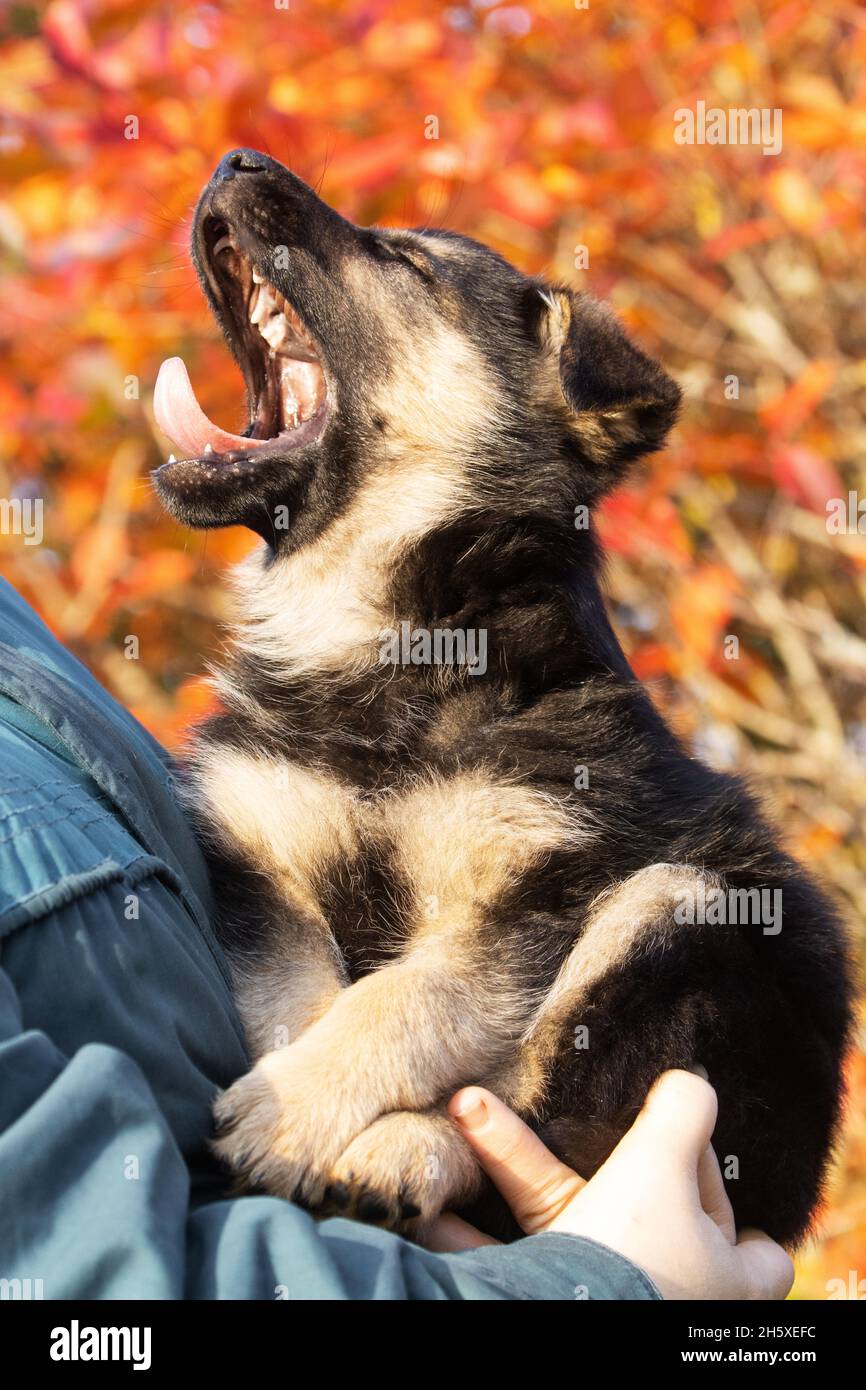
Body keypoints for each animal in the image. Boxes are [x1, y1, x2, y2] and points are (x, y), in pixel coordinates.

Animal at [154, 146, 856, 1245]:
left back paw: (406, 1154)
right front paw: (291, 1103)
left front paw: (285, 1109)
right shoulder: (258, 859)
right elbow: (300, 995)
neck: (392, 642)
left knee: (548, 1133)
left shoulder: (539, 881)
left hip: (691, 903)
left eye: (404, 260)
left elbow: (407, 999)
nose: (237, 157)